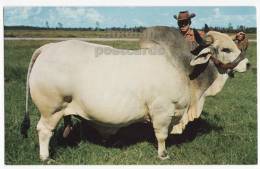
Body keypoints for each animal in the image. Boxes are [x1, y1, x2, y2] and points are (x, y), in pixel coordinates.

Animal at [20, 26, 250, 161]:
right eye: (226, 49)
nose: (247, 64)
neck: (184, 69)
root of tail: (48, 48)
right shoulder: (162, 111)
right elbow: (161, 135)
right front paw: (163, 155)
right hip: (52, 109)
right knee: (43, 130)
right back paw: (45, 157)